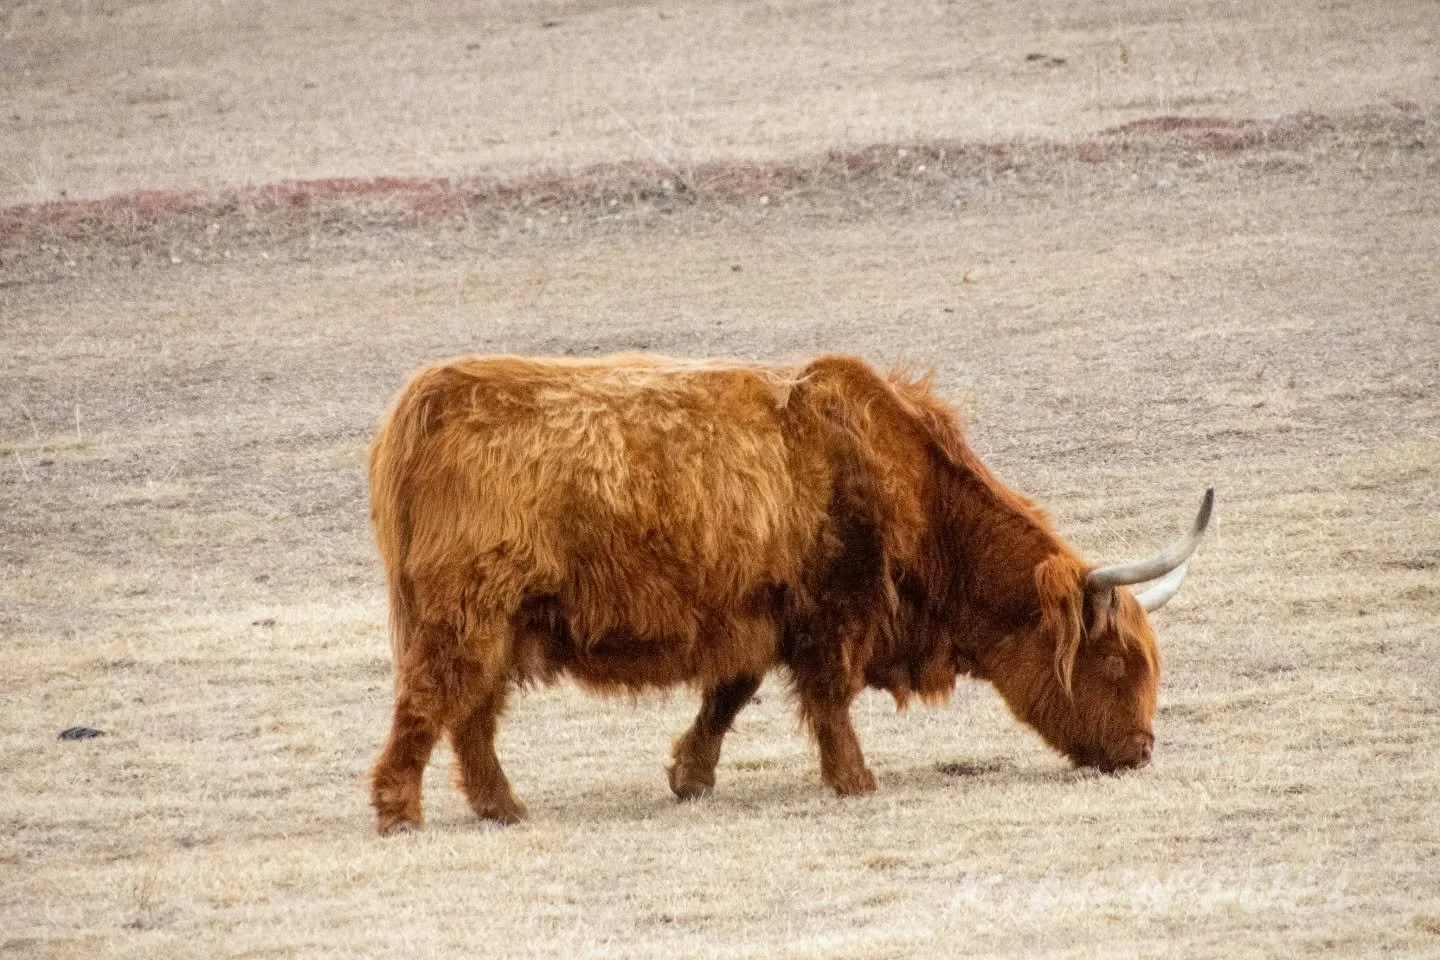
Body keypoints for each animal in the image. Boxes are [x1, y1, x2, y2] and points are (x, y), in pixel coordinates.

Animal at [368, 353, 1212, 834]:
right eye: (1116, 662)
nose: (1141, 750)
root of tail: (427, 399)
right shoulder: (832, 614)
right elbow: (829, 701)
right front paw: (856, 782)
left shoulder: (755, 618)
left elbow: (728, 697)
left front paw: (690, 776)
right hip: (464, 617)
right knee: (431, 704)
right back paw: (399, 812)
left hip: (495, 625)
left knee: (472, 716)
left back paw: (502, 808)